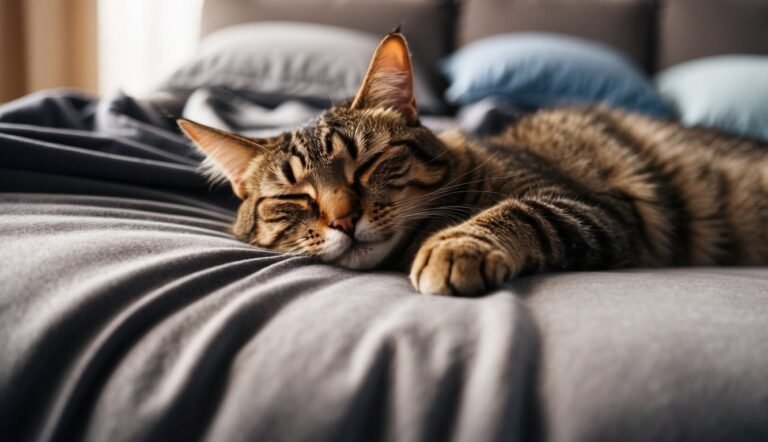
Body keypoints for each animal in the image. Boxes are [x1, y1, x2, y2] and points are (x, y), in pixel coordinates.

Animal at [178, 31, 768, 296]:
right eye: (294, 199)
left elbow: (521, 210)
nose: (344, 220)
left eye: (367, 165)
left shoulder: (593, 206)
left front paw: (458, 245)